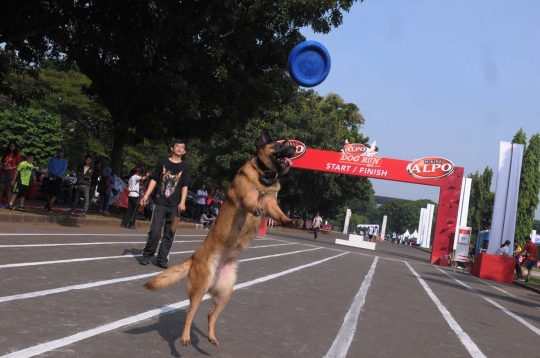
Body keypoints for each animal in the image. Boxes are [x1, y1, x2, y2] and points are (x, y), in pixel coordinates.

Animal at [146, 129, 302, 346]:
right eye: (280, 145)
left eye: (289, 143)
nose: (293, 148)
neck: (265, 176)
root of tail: (194, 256)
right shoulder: (246, 195)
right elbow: (251, 200)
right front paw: (255, 206)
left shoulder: (271, 204)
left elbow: (279, 214)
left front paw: (292, 220)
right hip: (200, 289)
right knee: (189, 314)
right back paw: (185, 338)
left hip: (226, 294)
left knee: (210, 315)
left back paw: (211, 337)